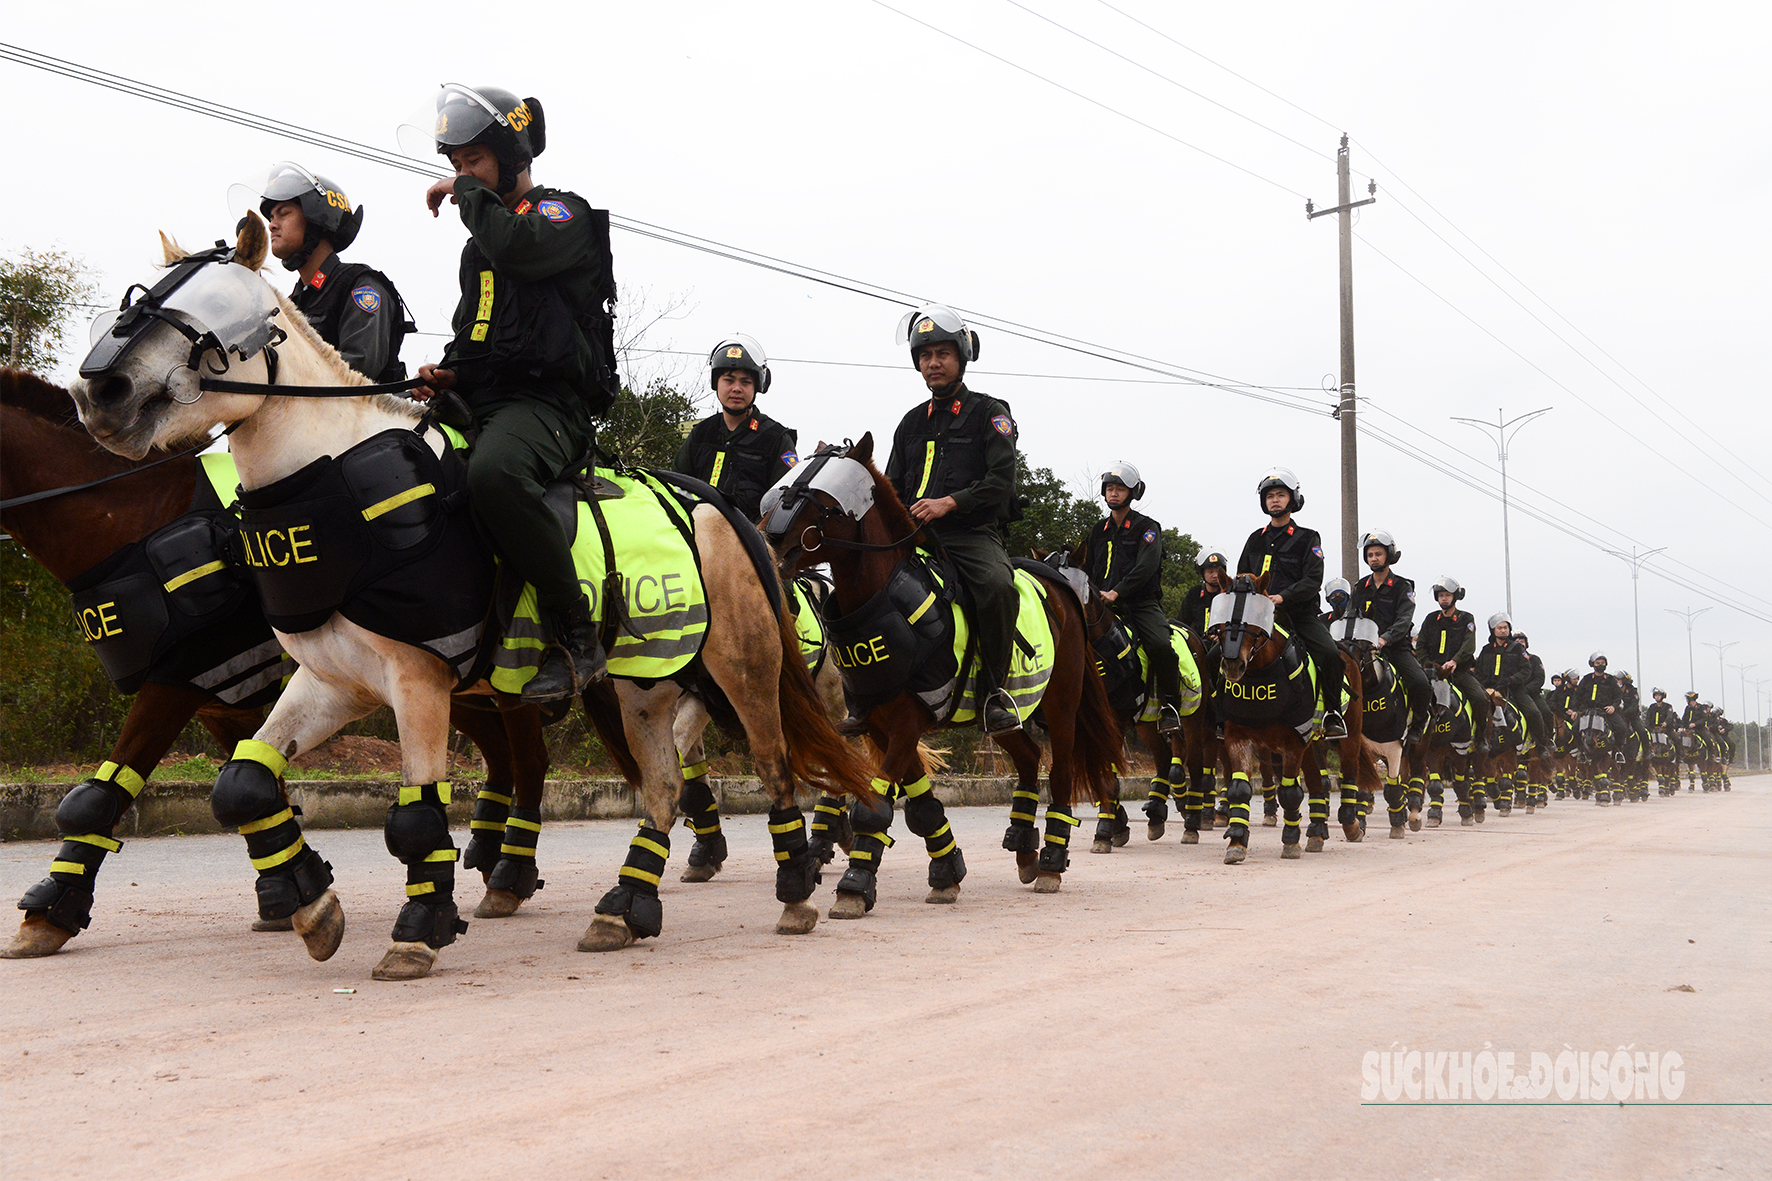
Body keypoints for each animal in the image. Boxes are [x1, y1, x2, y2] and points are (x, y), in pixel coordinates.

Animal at [72, 213, 875, 971]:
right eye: (138, 301)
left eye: (217, 309)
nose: (102, 393)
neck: (331, 476)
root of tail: (714, 505)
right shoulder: (333, 681)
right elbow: (241, 784)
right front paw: (312, 905)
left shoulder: (419, 679)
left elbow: (416, 818)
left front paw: (418, 931)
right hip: (642, 683)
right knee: (663, 786)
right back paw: (625, 907)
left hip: (743, 669)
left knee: (775, 765)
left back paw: (796, 888)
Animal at [761, 436, 1119, 904]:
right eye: (783, 490)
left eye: (822, 503)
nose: (768, 538)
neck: (882, 597)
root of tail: (1059, 589)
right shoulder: (881, 724)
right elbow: (920, 807)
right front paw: (946, 871)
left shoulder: (908, 720)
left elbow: (873, 809)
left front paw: (855, 885)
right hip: (1005, 714)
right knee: (1027, 757)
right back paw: (1024, 849)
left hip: (1061, 706)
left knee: (1058, 775)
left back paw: (1051, 864)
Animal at [1204, 570, 1382, 861]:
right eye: (1222, 613)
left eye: (1258, 614)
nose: (1232, 663)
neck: (1261, 672)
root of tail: (1347, 652)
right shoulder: (1238, 737)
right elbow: (1240, 788)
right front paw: (1237, 842)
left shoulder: (1293, 742)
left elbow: (1289, 793)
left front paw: (1290, 840)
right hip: (1311, 744)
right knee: (1318, 783)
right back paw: (1317, 832)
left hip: (1350, 735)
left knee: (1349, 773)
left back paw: (1352, 825)